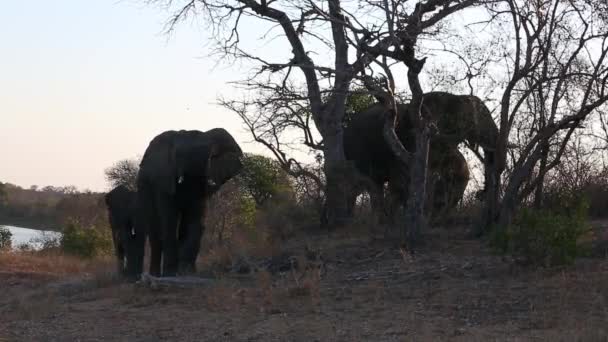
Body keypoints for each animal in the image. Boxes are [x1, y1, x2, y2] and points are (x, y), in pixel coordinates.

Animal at [132, 128, 243, 278]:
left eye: (211, 156)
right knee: (155, 229)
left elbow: (195, 219)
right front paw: (170, 273)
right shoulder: (164, 179)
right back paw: (156, 274)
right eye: (179, 156)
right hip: (144, 187)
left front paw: (187, 271)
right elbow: (169, 220)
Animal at [342, 91, 494, 222]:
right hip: (358, 150)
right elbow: (403, 180)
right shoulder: (410, 137)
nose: (480, 194)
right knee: (367, 185)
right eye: (471, 119)